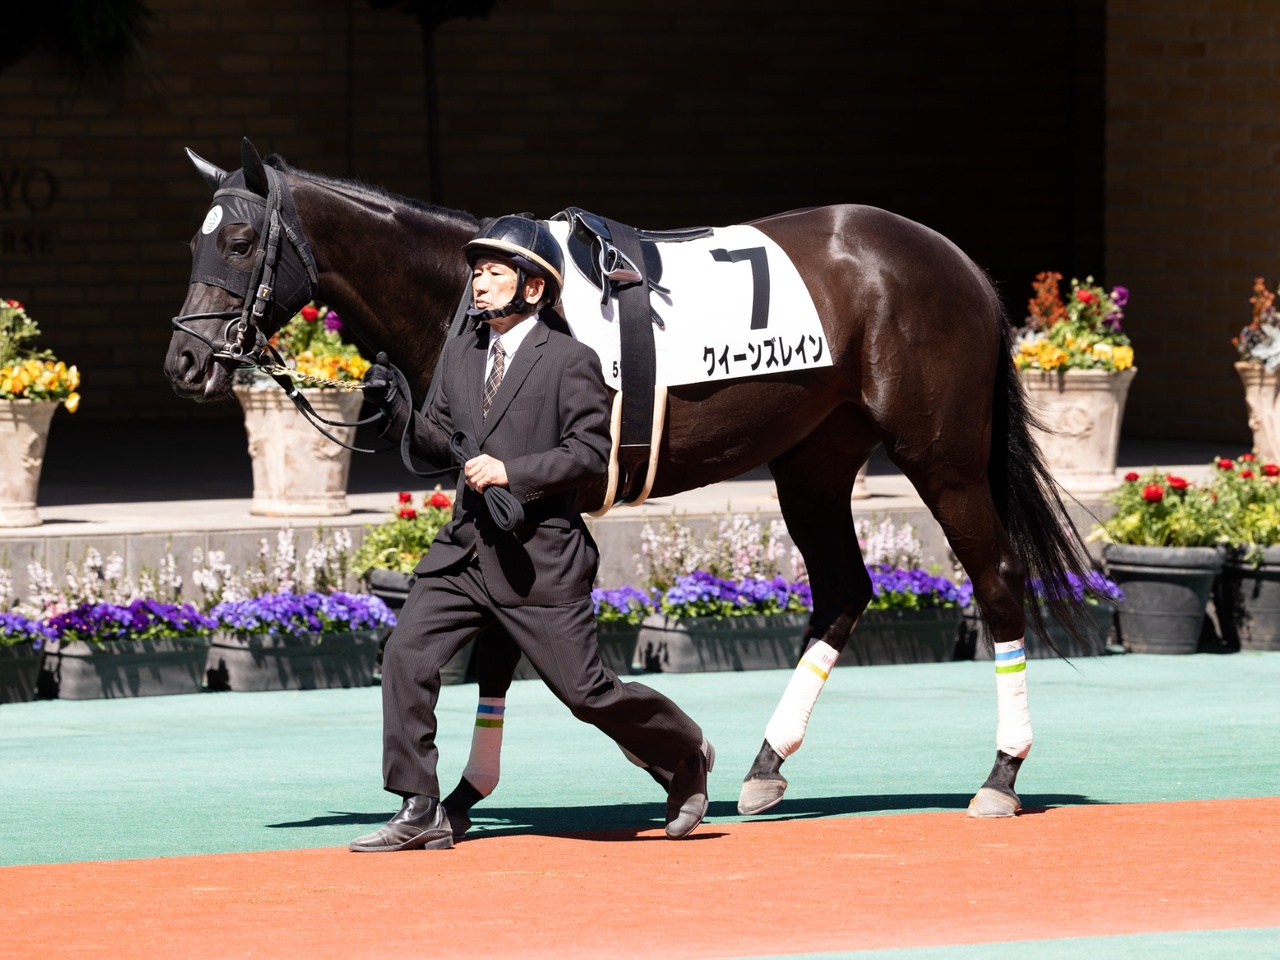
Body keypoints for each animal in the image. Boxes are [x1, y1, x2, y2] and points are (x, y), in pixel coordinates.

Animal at [165, 138, 1093, 827]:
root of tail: (955, 261)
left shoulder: (536, 494)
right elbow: (504, 652)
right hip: (814, 460)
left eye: (240, 243)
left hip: (941, 456)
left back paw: (1001, 776)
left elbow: (520, 649)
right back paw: (765, 766)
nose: (185, 361)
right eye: (195, 243)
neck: (471, 296)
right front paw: (485, 794)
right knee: (842, 591)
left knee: (996, 579)